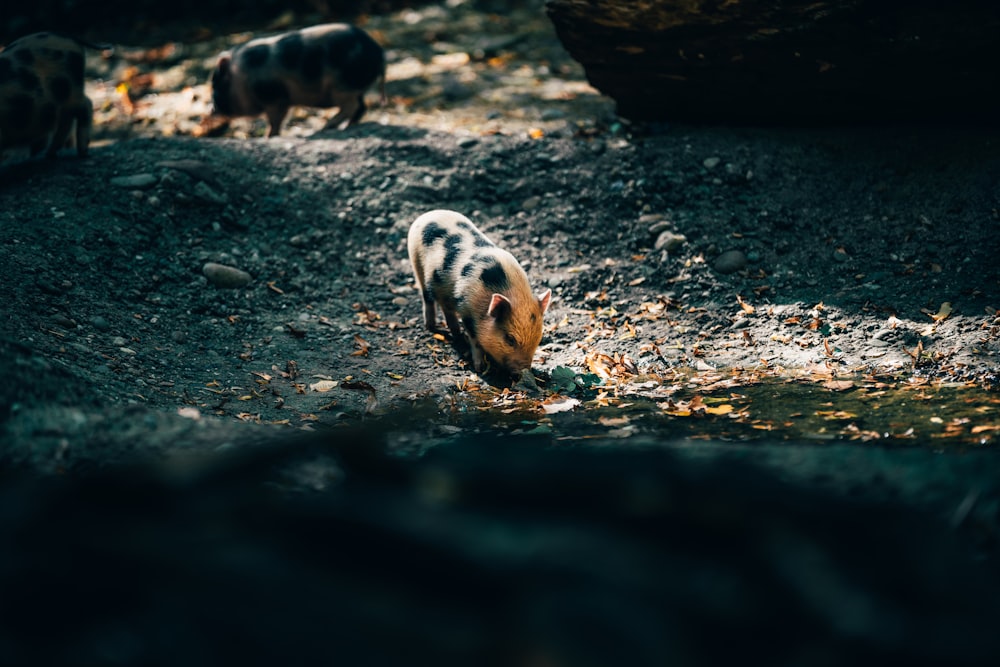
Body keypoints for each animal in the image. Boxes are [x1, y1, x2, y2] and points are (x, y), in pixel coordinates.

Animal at [209, 23, 384, 138]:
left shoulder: (275, 98)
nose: (212, 110)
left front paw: (268, 137)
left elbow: (275, 120)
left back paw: (326, 128)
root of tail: (378, 51)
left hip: (343, 87)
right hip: (354, 88)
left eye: (216, 86)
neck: (243, 79)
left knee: (351, 106)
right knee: (361, 107)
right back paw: (347, 126)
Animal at [406, 209, 552, 376]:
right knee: (427, 298)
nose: (523, 371)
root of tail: (427, 215)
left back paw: (456, 333)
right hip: (416, 263)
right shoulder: (467, 310)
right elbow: (475, 341)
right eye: (510, 339)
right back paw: (431, 327)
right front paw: (480, 368)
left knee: (446, 307)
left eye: (539, 337)